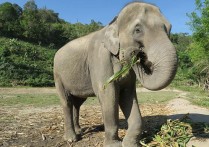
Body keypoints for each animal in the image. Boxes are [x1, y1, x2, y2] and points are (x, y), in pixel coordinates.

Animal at [53, 1, 177, 147]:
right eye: (137, 30)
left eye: (169, 28)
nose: (136, 54)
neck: (113, 22)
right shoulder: (100, 59)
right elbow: (108, 94)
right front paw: (114, 144)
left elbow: (128, 95)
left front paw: (130, 144)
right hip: (57, 75)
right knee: (66, 101)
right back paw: (72, 138)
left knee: (77, 103)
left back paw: (79, 131)